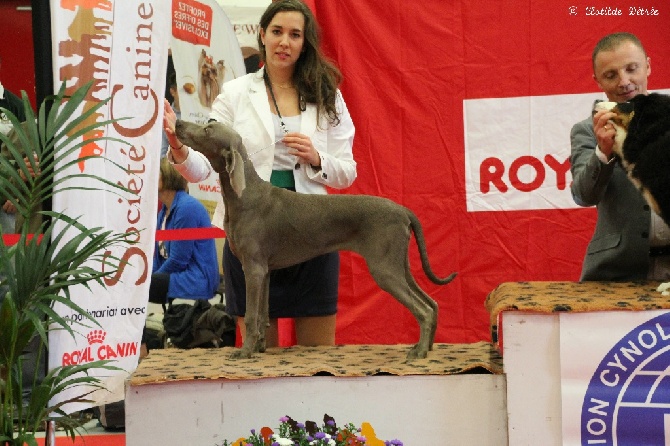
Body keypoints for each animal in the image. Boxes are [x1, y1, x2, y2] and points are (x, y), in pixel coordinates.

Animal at [173, 119, 460, 362]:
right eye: (209, 121)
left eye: (208, 130)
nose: (177, 123)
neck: (244, 197)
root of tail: (403, 210)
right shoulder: (265, 271)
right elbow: (264, 314)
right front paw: (260, 347)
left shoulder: (253, 269)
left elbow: (253, 315)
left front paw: (244, 352)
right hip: (398, 264)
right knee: (432, 303)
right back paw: (426, 347)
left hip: (385, 268)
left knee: (423, 309)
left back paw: (419, 352)